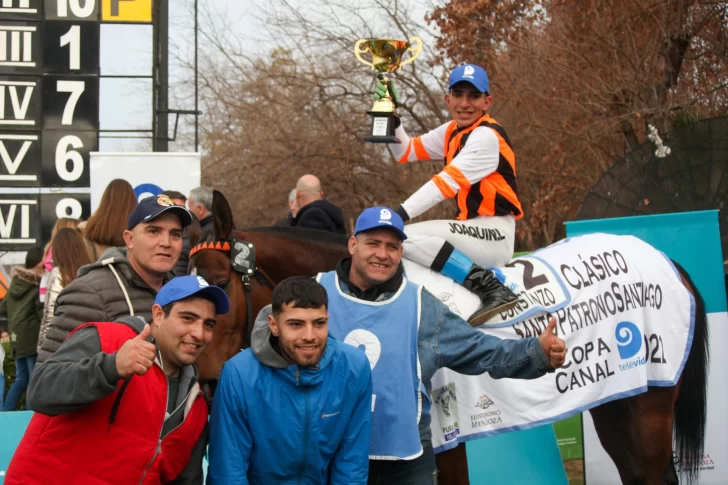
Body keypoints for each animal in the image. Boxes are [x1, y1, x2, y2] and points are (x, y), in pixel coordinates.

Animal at [191, 195, 708, 482]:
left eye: (219, 284)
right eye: (180, 281)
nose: (209, 386)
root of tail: (664, 258)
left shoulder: (445, 442)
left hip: (651, 406)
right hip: (615, 402)